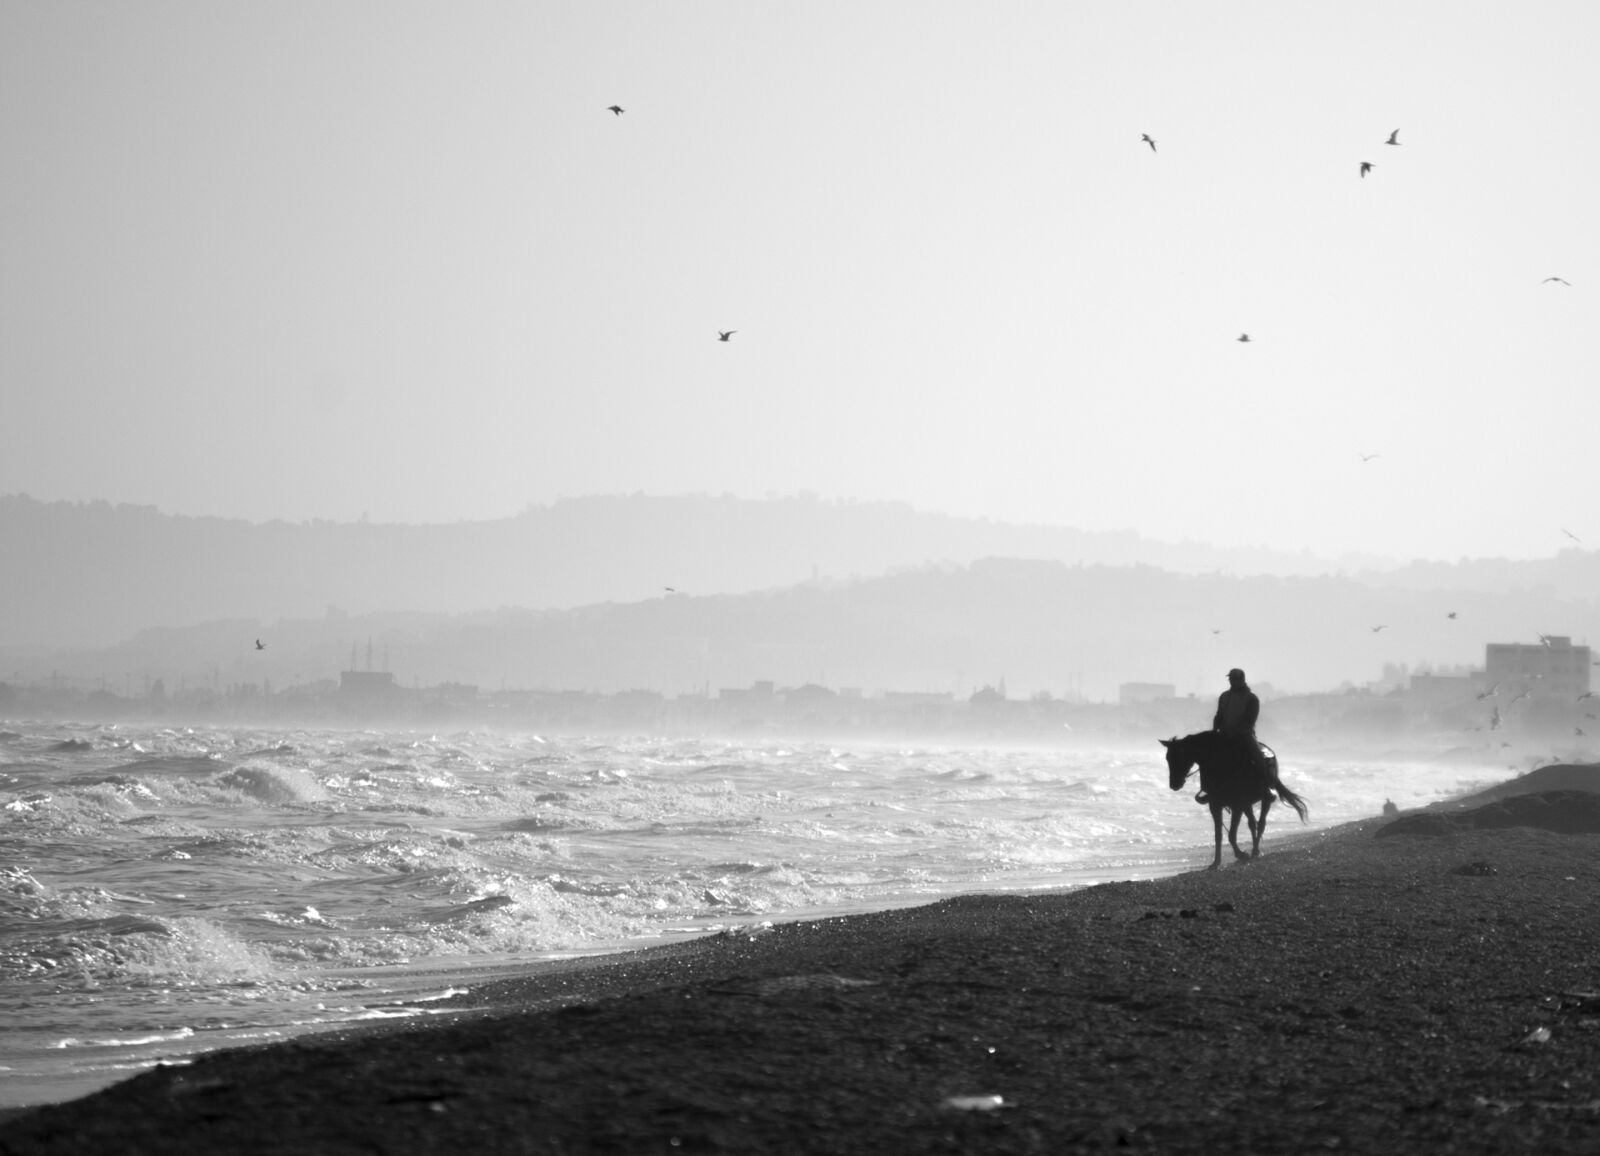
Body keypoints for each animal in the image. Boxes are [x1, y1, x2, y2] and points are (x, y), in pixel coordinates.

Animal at [1161, 731, 1309, 870]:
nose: (1174, 784)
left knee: (1261, 823)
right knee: (1252, 824)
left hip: (1264, 799)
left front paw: (1241, 855)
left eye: (1178, 757)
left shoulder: (1237, 805)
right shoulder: (1215, 805)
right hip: (1248, 805)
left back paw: (1255, 851)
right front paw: (1216, 862)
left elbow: (1231, 834)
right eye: (1167, 758)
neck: (1219, 766)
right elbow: (1218, 835)